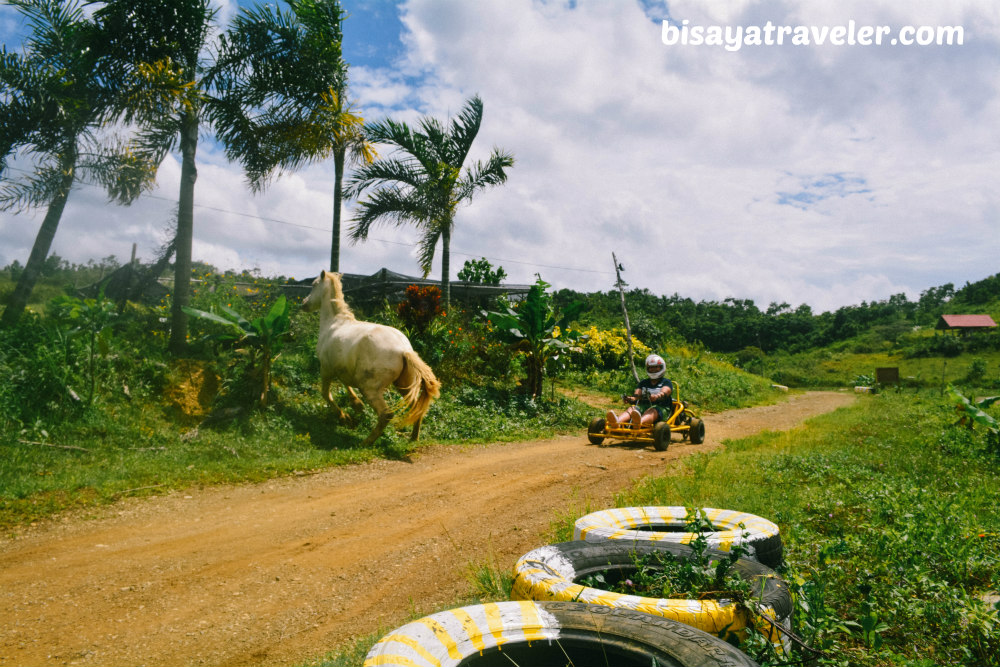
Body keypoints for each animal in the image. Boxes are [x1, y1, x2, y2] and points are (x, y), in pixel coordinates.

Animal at [296, 268, 438, 446]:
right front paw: (357, 405)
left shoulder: (326, 368)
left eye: (313, 284)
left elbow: (326, 394)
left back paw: (366, 442)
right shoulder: (342, 368)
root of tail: (404, 350)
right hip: (403, 385)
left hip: (370, 388)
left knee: (386, 414)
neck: (334, 323)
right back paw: (413, 437)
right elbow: (346, 383)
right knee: (416, 407)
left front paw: (345, 417)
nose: (304, 303)